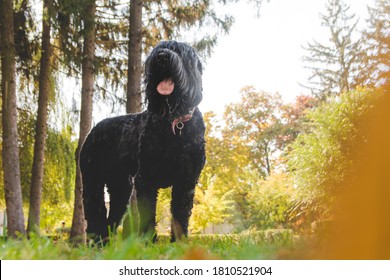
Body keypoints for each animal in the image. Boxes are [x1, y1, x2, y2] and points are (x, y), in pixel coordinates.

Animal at [80, 40, 206, 242]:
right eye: (157, 49)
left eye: (179, 51)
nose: (161, 56)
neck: (174, 123)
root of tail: (94, 129)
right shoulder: (146, 178)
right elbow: (148, 213)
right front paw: (147, 241)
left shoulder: (186, 181)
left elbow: (180, 213)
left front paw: (179, 242)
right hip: (93, 181)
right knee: (95, 213)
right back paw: (97, 242)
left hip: (121, 188)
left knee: (111, 218)